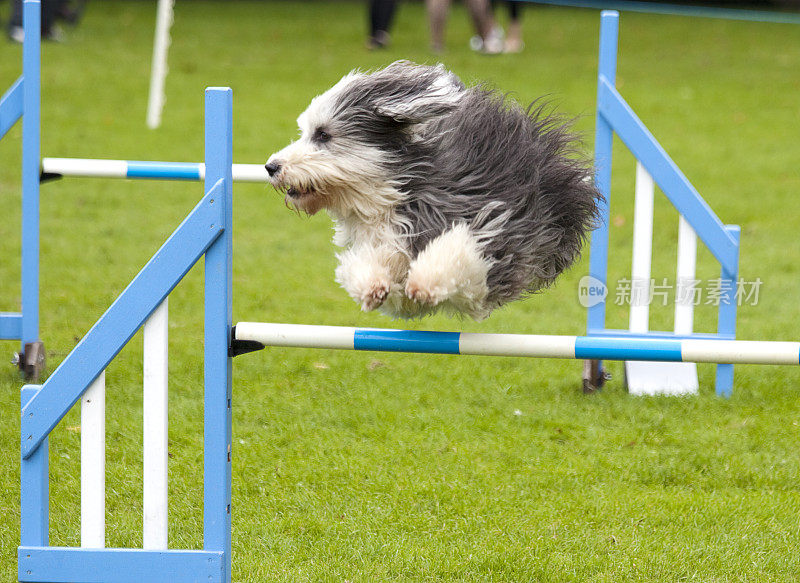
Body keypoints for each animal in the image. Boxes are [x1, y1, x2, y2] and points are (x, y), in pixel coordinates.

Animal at [268, 61, 600, 322]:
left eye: (323, 134)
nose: (271, 166)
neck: (398, 190)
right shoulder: (385, 241)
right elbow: (377, 269)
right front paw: (372, 283)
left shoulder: (501, 227)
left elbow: (460, 249)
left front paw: (425, 282)